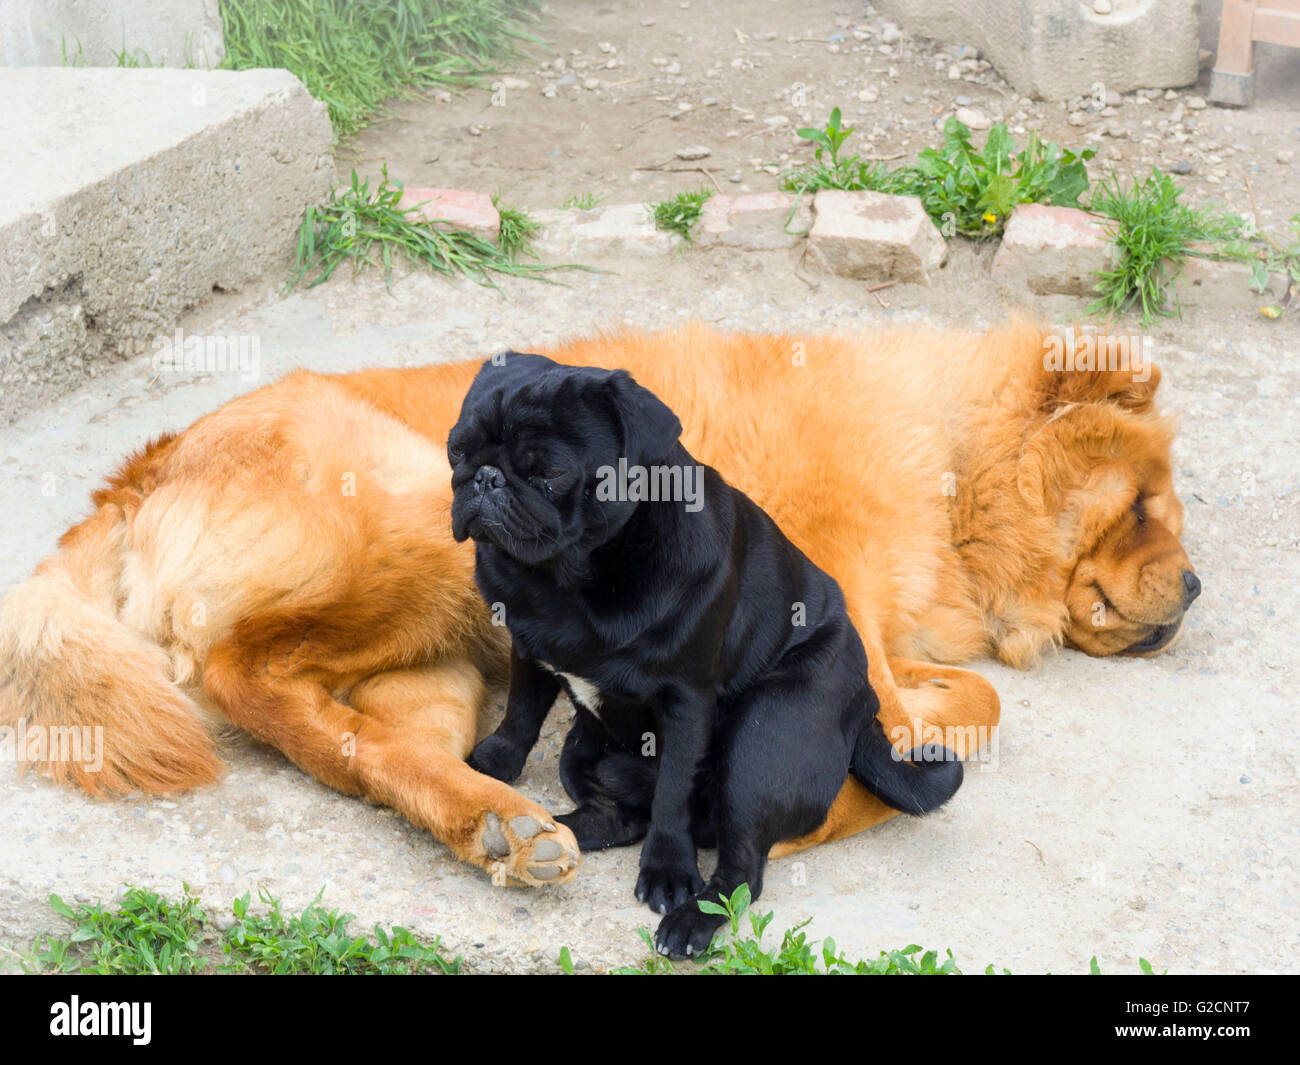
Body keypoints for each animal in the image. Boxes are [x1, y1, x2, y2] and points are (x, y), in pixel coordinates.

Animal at [0, 315, 1196, 884]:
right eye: (1144, 504)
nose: (1194, 587)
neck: (951, 464)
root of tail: (144, 465)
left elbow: (968, 699)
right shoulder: (831, 604)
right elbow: (906, 722)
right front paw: (883, 759)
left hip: (439, 671)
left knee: (361, 752)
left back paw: (501, 823)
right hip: (440, 541)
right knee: (243, 670)